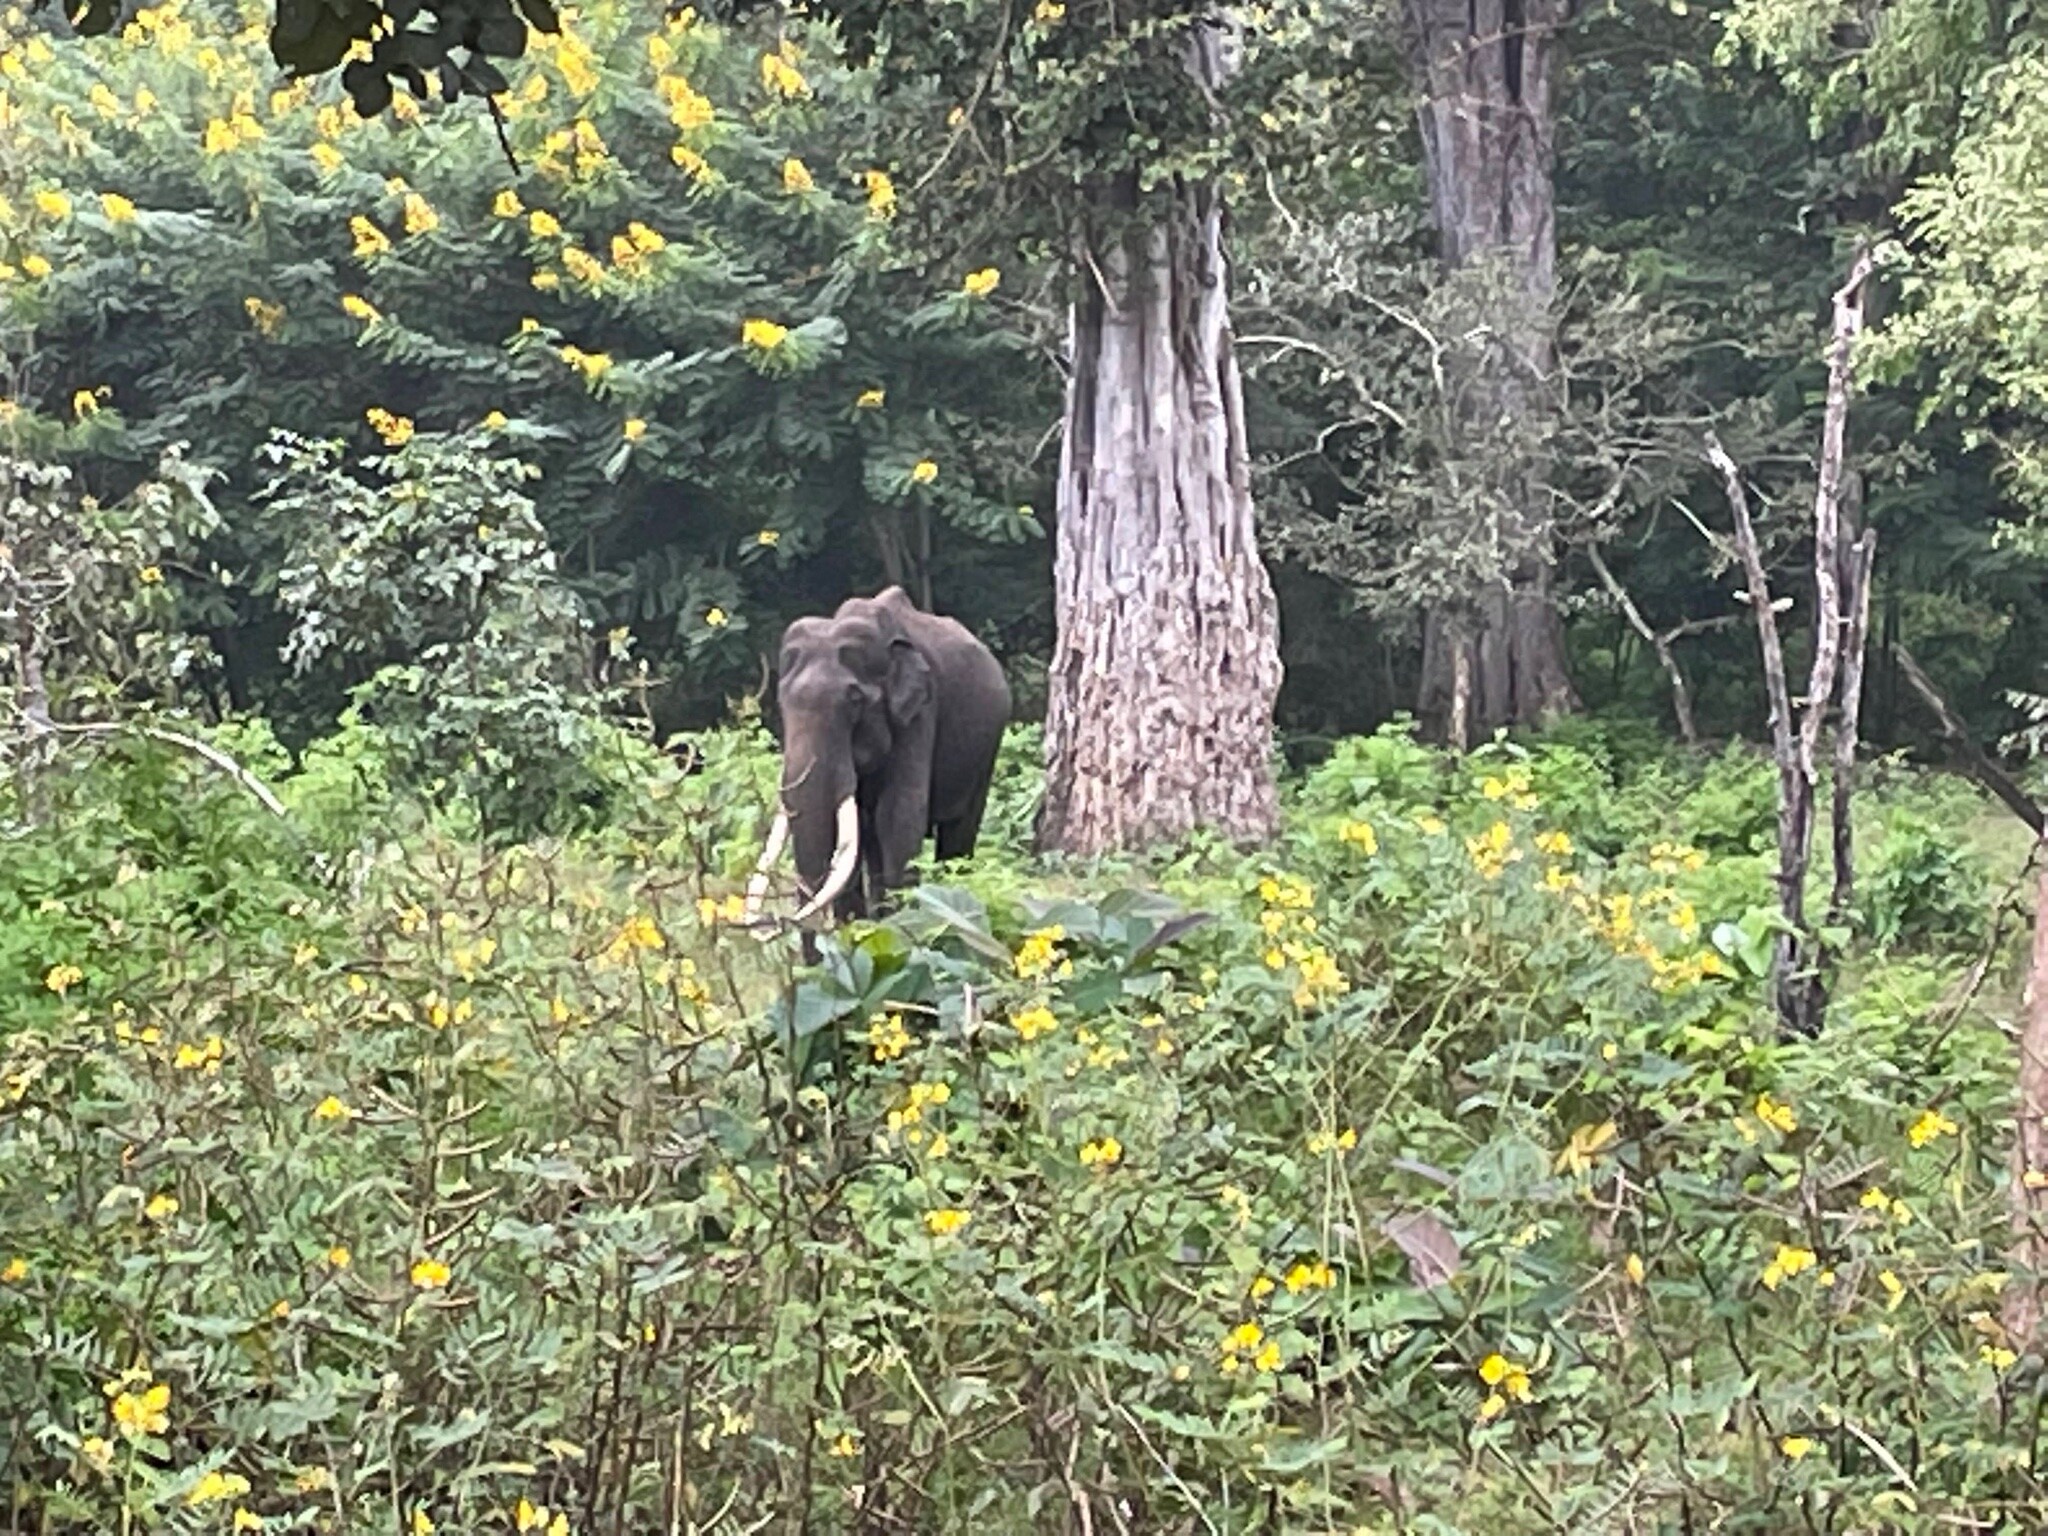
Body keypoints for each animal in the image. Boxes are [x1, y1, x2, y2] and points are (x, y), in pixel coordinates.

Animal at [745, 589, 1015, 925]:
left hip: (987, 748)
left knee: (959, 829)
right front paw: (859, 930)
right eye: (781, 702)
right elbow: (856, 831)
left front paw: (898, 926)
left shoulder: (920, 711)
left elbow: (898, 815)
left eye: (854, 700)